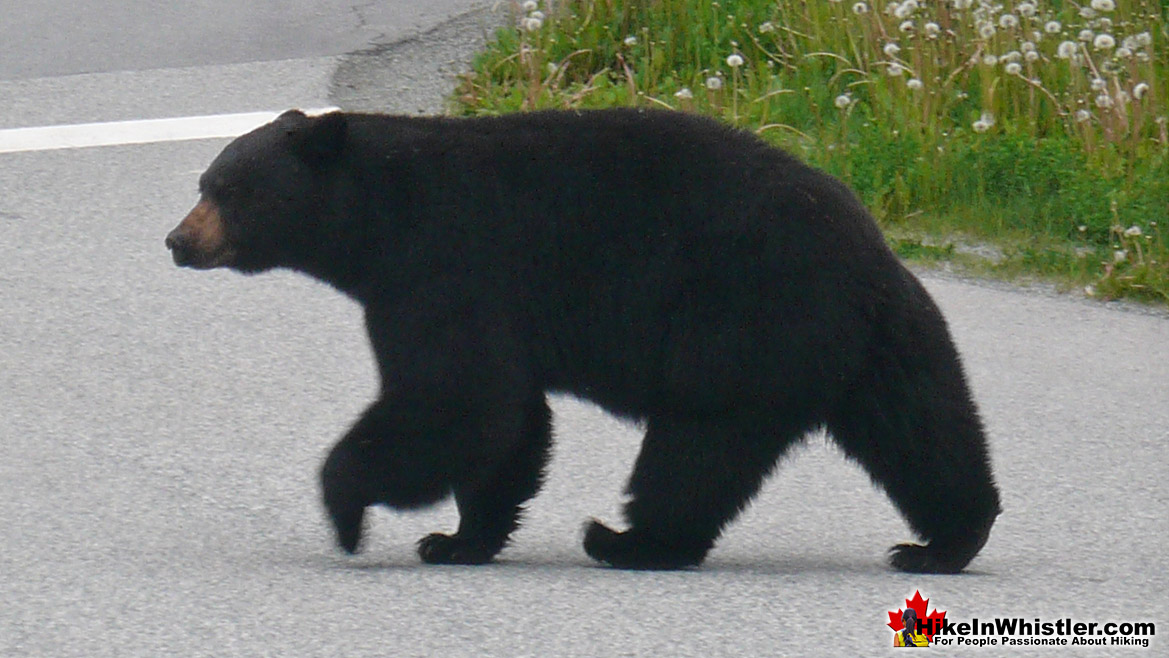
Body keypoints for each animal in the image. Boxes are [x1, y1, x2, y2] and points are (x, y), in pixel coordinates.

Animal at [169, 108, 1000, 572]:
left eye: (226, 189)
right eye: (205, 182)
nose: (177, 240)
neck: (380, 212)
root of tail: (869, 255)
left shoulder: (445, 264)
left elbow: (455, 401)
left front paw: (347, 509)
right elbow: (507, 422)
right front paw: (458, 539)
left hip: (742, 323)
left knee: (696, 448)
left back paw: (629, 541)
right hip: (880, 345)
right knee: (921, 429)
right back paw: (943, 541)